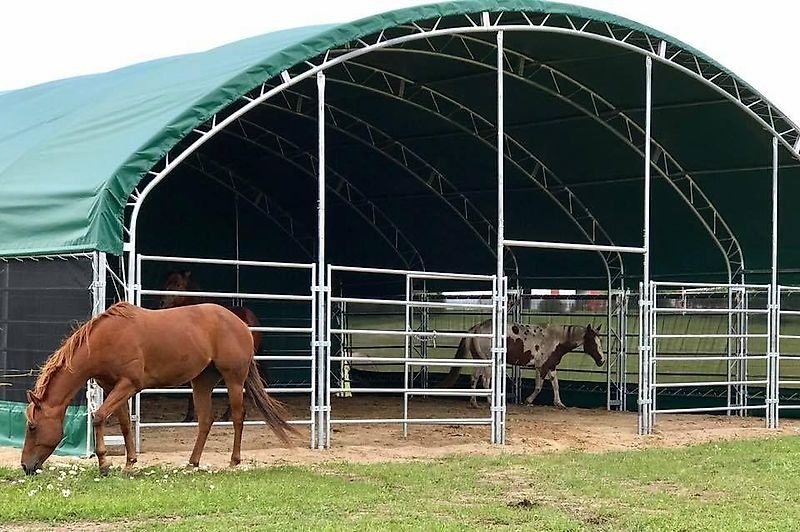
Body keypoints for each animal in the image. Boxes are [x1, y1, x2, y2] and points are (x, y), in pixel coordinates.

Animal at [21, 302, 296, 476]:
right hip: (202, 381)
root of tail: (241, 323)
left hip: (234, 379)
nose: (25, 466)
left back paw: (233, 461)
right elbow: (124, 424)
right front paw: (129, 463)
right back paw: (192, 463)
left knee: (238, 417)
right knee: (205, 420)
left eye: (32, 427)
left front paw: (105, 465)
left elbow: (99, 417)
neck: (105, 340)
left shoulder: (128, 384)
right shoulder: (113, 387)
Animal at [438, 318, 608, 410]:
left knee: (474, 379)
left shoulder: (551, 366)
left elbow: (556, 385)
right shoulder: (541, 367)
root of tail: (476, 328)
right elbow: (539, 386)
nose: (602, 360)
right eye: (593, 342)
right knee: (485, 381)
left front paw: (559, 403)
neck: (556, 338)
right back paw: (490, 402)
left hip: (480, 361)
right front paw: (528, 401)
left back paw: (474, 402)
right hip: (488, 363)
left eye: (600, 341)